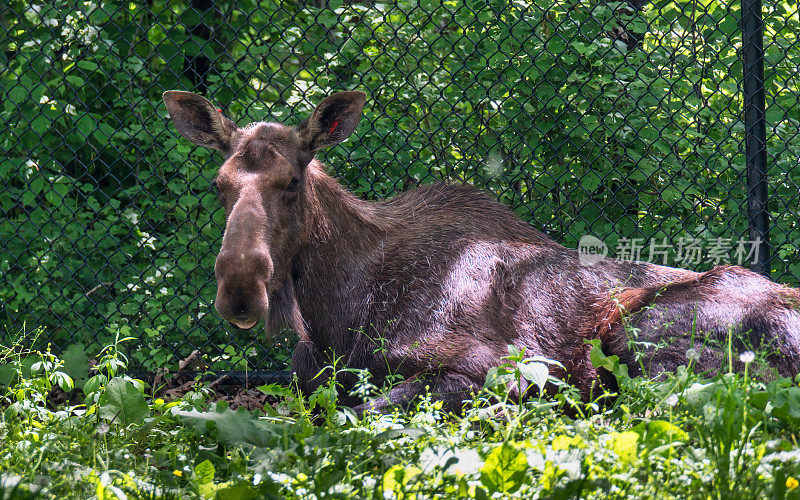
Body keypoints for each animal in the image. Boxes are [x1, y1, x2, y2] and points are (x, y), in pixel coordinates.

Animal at [164, 90, 800, 414]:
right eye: (219, 185)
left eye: (293, 181)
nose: (239, 287)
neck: (331, 315)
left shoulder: (499, 360)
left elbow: (368, 407)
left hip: (634, 333)